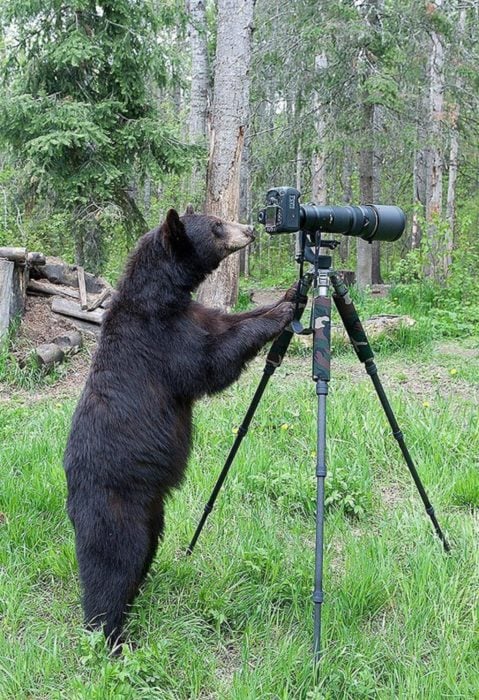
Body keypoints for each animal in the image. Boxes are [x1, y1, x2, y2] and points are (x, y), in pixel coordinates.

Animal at [62, 209, 296, 652]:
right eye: (217, 225)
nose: (250, 229)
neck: (162, 298)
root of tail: (71, 497)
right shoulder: (163, 342)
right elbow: (210, 364)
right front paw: (283, 313)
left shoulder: (195, 315)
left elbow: (228, 324)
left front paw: (289, 294)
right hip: (115, 510)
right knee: (110, 567)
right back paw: (112, 636)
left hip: (153, 512)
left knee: (142, 554)